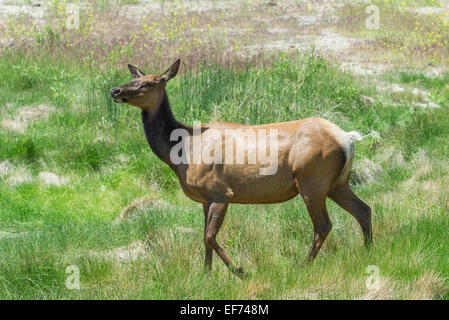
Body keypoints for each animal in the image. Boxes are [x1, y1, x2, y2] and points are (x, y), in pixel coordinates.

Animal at [111, 59, 372, 278]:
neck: (182, 152)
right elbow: (203, 237)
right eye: (134, 78)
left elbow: (209, 236)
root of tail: (347, 139)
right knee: (363, 210)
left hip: (312, 179)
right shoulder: (205, 198)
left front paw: (239, 270)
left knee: (323, 224)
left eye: (148, 82)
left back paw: (303, 265)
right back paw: (368, 252)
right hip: (337, 182)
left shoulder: (220, 192)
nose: (115, 90)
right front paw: (206, 274)